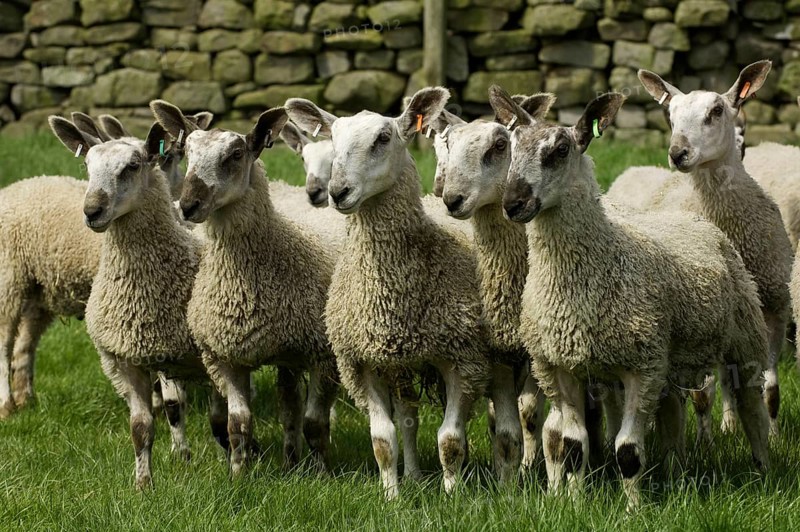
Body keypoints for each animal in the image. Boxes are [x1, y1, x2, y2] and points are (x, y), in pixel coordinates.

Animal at [47, 116, 216, 489]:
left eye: (133, 166)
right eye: (86, 165)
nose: (92, 211)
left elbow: (215, 415)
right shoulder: (125, 361)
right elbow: (141, 427)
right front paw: (143, 485)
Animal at [150, 100, 340, 477]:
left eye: (236, 154)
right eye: (187, 153)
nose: (188, 205)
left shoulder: (322, 355)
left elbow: (315, 424)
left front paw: (324, 475)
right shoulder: (224, 358)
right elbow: (237, 424)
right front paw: (239, 473)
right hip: (286, 354)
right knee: (288, 404)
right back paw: (290, 460)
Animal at [285, 88, 492, 498]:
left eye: (383, 138)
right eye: (333, 138)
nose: (337, 192)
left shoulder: (463, 360)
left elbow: (450, 440)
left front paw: (453, 496)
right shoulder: (362, 363)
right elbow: (383, 440)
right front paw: (391, 496)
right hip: (395, 359)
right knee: (409, 415)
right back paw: (411, 476)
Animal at [495, 90, 770, 510]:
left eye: (560, 150)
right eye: (510, 147)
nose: (513, 204)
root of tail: (689, 217)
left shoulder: (641, 367)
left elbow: (627, 451)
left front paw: (633, 510)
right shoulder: (558, 367)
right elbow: (573, 447)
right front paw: (574, 504)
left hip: (744, 333)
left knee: (752, 404)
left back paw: (765, 469)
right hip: (670, 357)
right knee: (673, 411)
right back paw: (677, 472)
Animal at [638, 60, 792, 437]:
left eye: (717, 111)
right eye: (670, 115)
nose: (678, 153)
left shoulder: (775, 311)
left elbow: (771, 391)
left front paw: (775, 437)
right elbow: (701, 396)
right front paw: (706, 441)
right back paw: (723, 426)